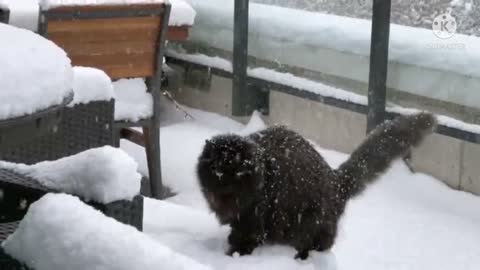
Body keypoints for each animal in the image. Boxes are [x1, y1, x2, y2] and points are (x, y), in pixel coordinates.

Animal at [197, 112, 436, 260]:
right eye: (217, 170)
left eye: (238, 172)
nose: (225, 183)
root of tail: (336, 180)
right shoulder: (239, 220)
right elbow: (235, 234)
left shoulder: (254, 219)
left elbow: (244, 242)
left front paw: (233, 256)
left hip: (311, 223)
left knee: (318, 245)